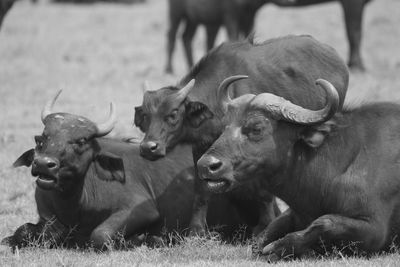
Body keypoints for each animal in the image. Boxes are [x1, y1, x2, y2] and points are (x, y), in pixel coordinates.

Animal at [0, 91, 256, 250]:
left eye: (81, 141)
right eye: (42, 138)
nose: (44, 164)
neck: (75, 205)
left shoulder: (141, 209)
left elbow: (100, 235)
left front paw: (143, 239)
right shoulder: (45, 214)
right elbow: (24, 231)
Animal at [134, 35, 346, 237]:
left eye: (173, 114)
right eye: (145, 115)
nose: (148, 148)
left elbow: (263, 191)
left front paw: (264, 225)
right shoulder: (203, 148)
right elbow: (201, 189)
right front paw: (196, 230)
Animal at [165, 0, 368, 73]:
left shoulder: (247, 16)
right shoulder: (231, 15)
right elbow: (354, 32)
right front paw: (358, 65)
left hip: (195, 19)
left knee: (187, 37)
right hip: (177, 13)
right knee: (172, 36)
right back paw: (169, 69)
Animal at [198, 78, 400, 260]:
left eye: (256, 128)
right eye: (224, 127)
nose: (205, 165)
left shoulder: (374, 230)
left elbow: (324, 223)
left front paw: (278, 249)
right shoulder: (294, 213)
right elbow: (263, 236)